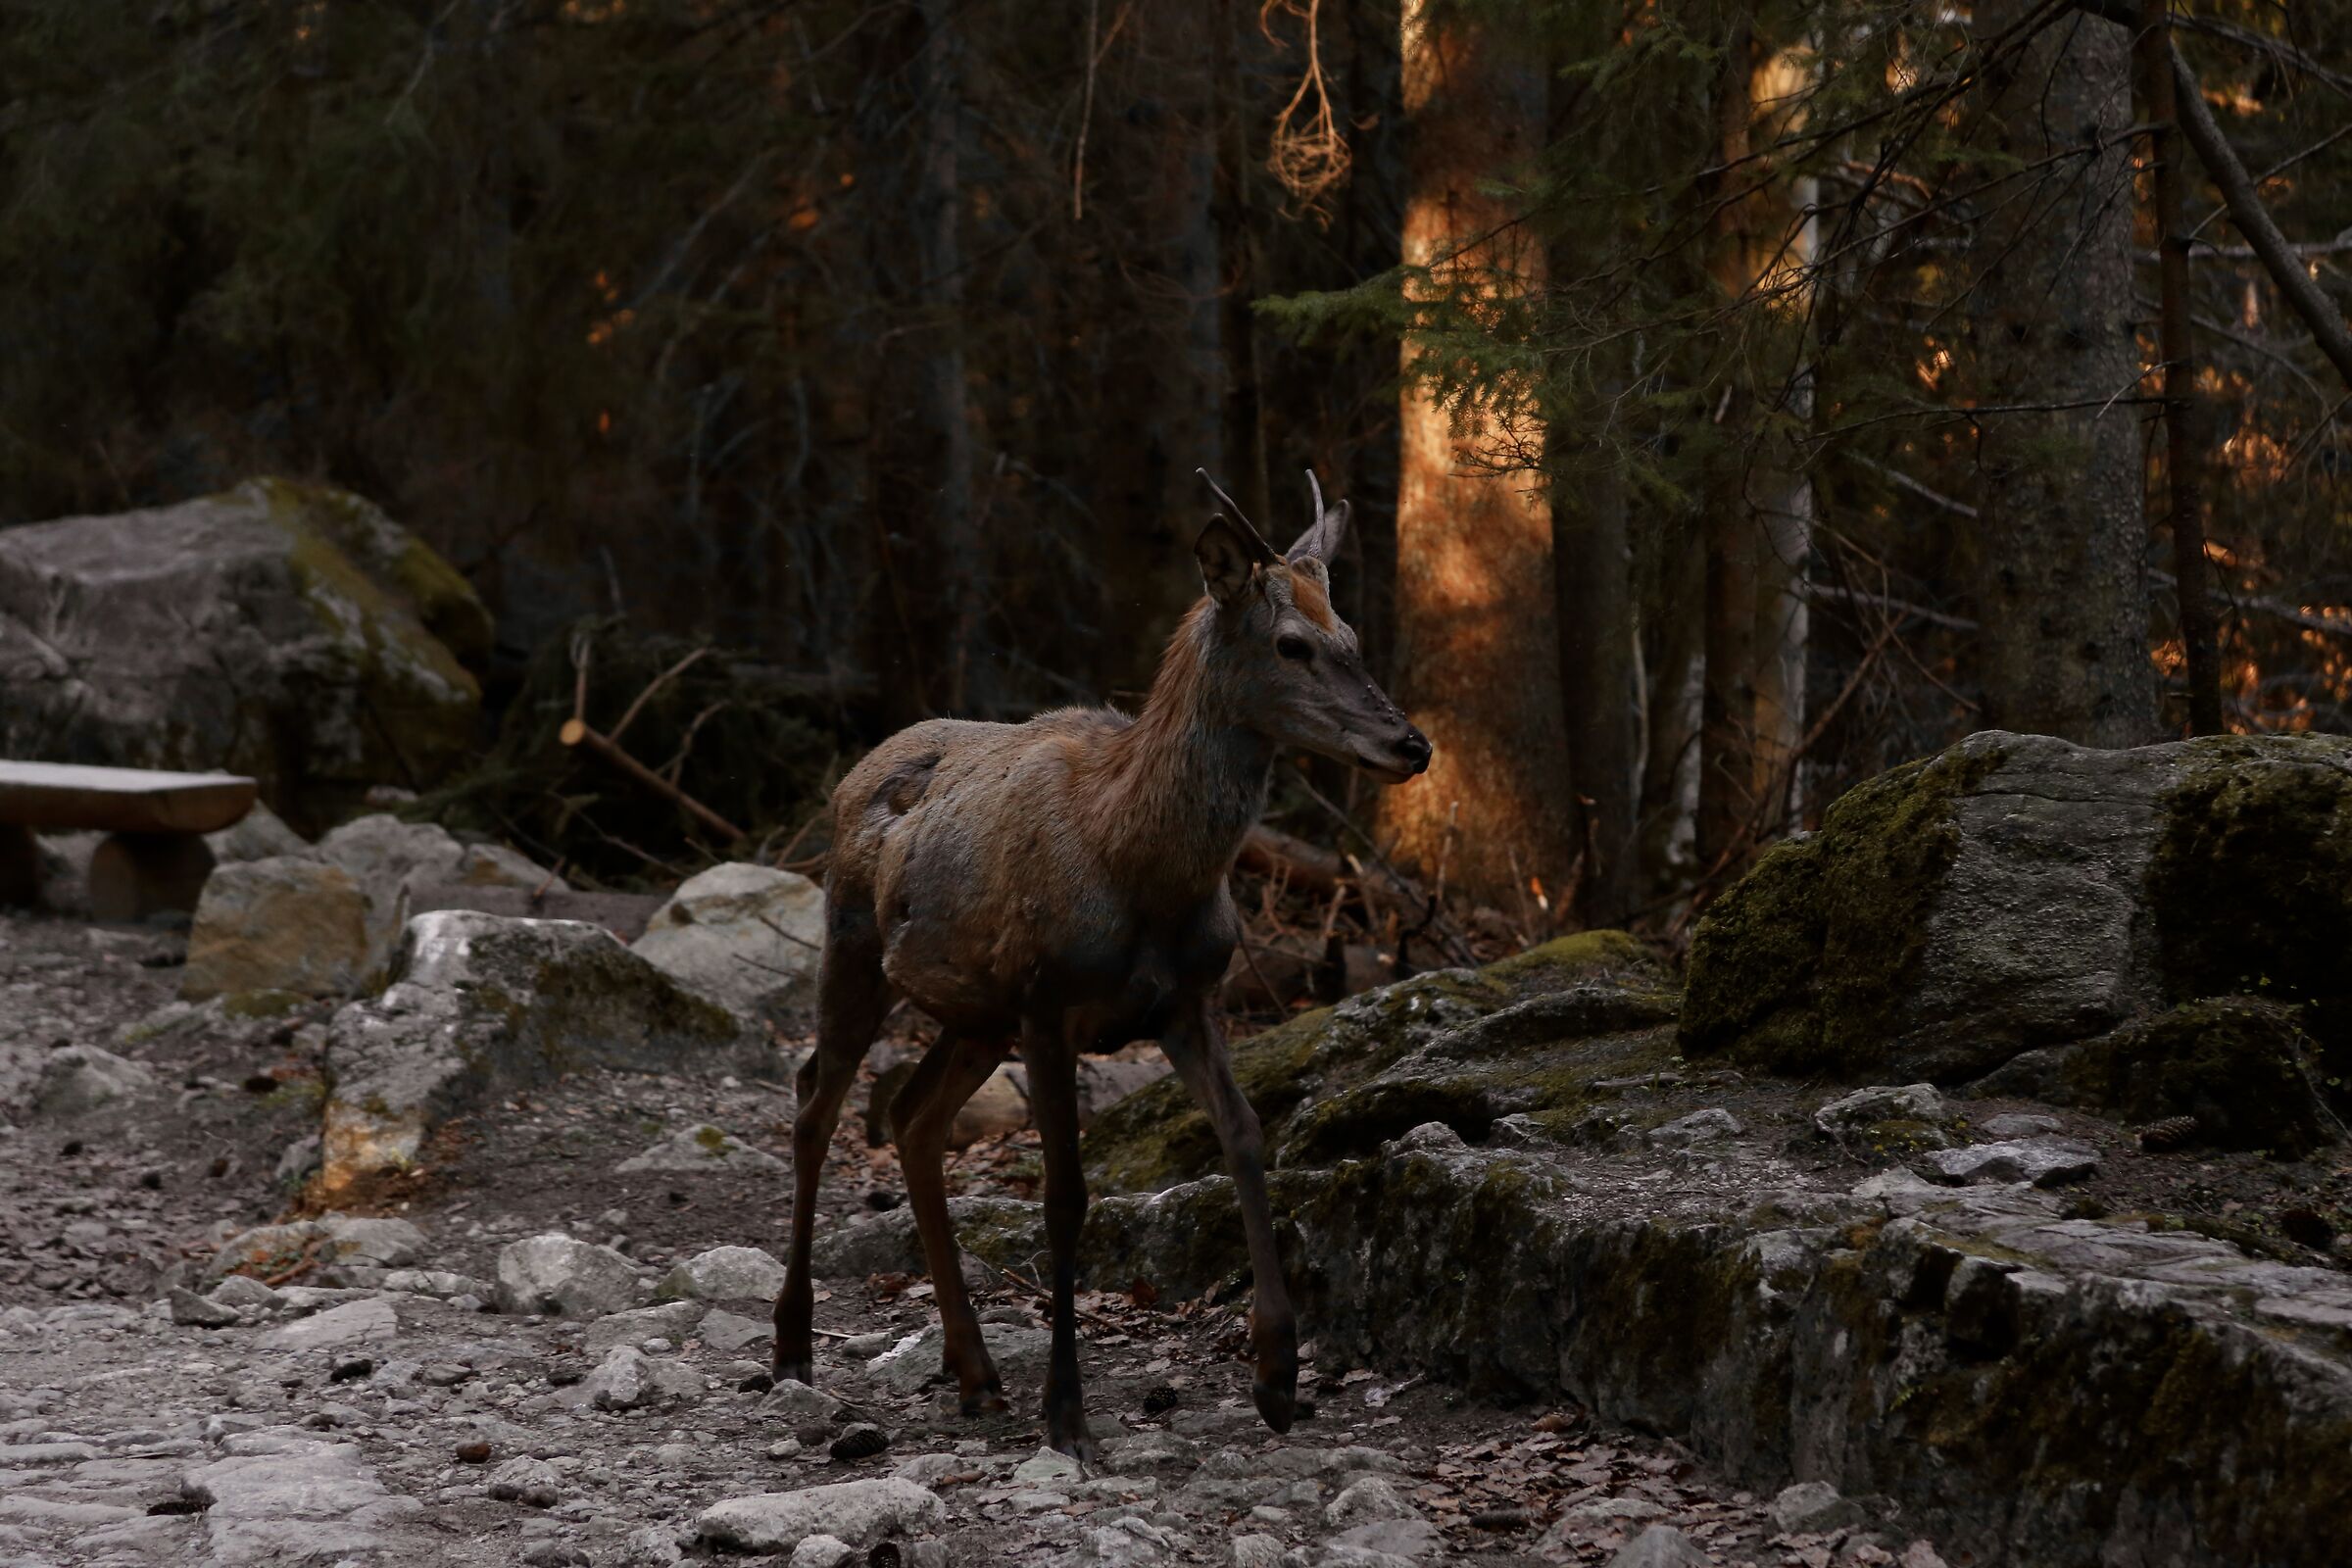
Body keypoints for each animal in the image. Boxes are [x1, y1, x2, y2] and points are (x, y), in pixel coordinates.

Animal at [769, 471, 1431, 1459]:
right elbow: (1065, 1196)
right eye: (1292, 643)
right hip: (855, 949)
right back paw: (794, 1345)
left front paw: (1278, 1377)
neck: (1134, 858)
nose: (1410, 744)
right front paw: (1069, 1412)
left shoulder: (1189, 1002)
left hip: (976, 1014)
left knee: (914, 1119)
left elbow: (1245, 1136)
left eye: (1349, 635)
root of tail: (857, 770)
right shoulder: (1050, 1003)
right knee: (816, 1102)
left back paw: (975, 1373)